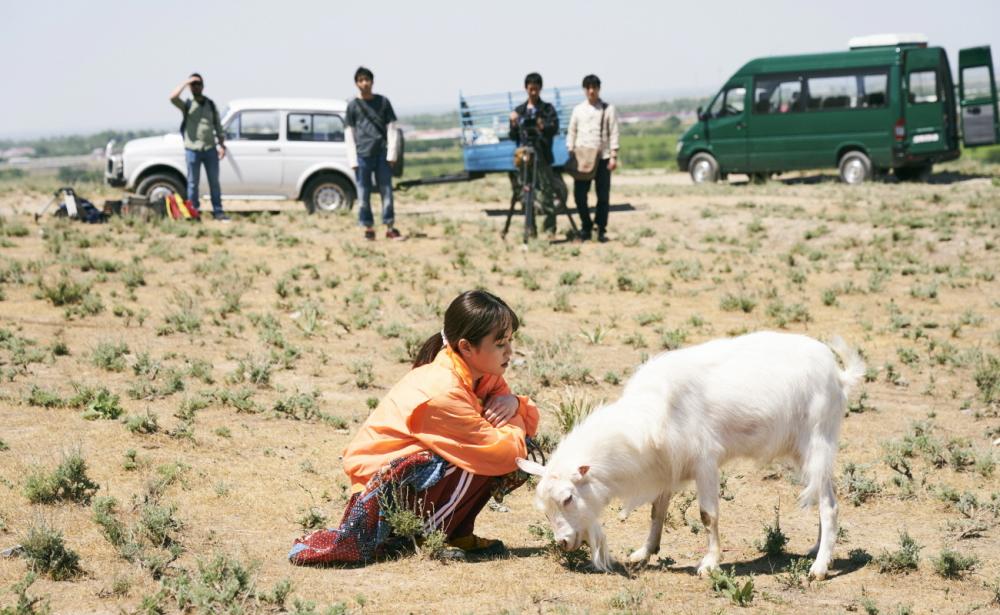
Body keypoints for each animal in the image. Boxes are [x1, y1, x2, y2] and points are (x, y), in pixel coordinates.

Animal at [517, 331, 865, 580]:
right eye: (544, 508)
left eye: (567, 498)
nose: (563, 543)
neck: (652, 415)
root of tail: (838, 375)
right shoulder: (668, 466)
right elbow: (657, 511)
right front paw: (644, 552)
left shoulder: (705, 463)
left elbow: (707, 515)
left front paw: (709, 563)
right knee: (823, 496)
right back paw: (816, 549)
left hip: (818, 442)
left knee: (829, 505)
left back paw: (819, 568)